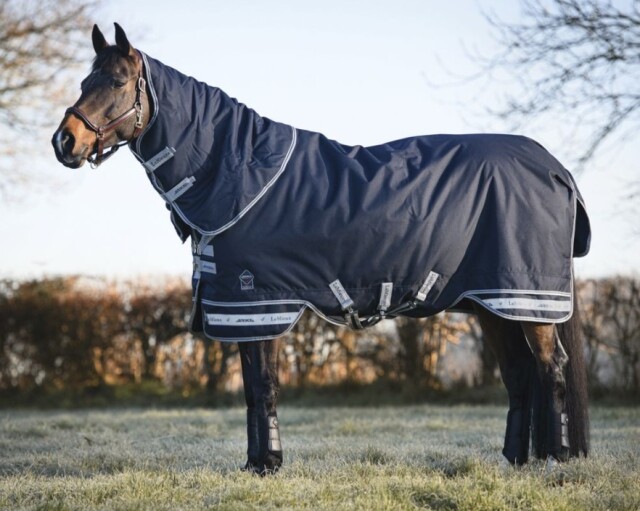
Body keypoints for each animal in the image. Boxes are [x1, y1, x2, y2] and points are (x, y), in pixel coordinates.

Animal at [52, 23, 590, 475]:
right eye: (83, 81)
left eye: (117, 81)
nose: (64, 142)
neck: (238, 172)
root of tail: (557, 168)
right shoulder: (245, 309)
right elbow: (253, 390)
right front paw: (256, 464)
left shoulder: (259, 302)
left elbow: (264, 386)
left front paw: (268, 464)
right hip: (492, 305)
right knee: (520, 375)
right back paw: (516, 460)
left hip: (525, 299)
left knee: (550, 369)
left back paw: (555, 459)